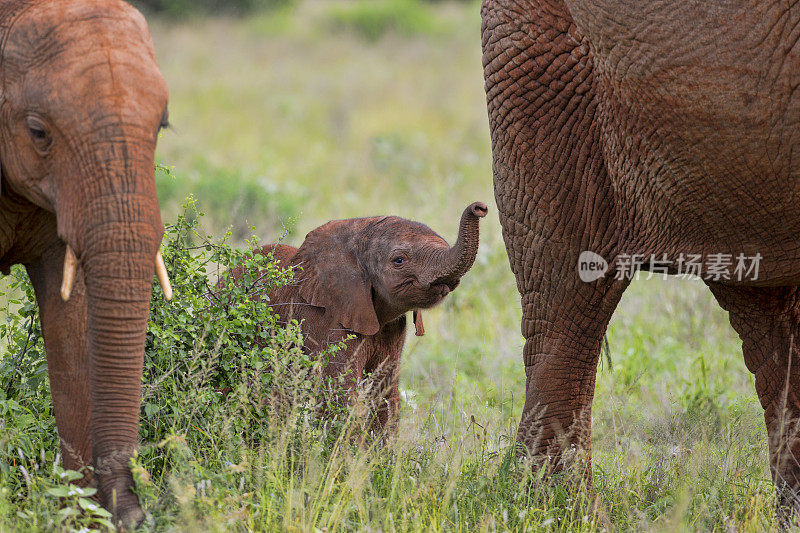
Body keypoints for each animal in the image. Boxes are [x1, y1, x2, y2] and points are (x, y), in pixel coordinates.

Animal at [234, 203, 488, 432]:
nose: (480, 208)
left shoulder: (392, 330)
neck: (358, 231)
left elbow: (385, 394)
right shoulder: (324, 320)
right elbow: (341, 395)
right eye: (399, 260)